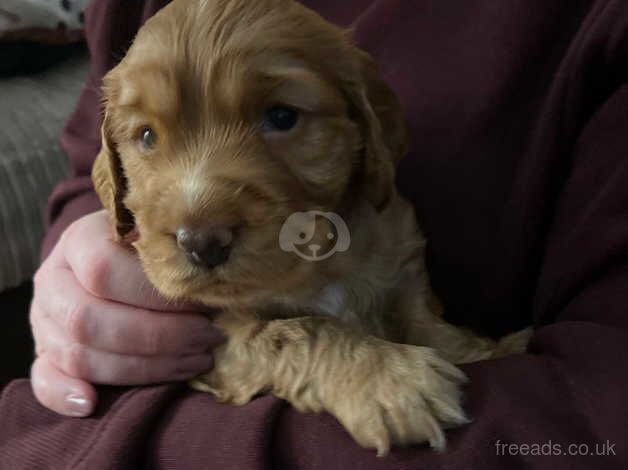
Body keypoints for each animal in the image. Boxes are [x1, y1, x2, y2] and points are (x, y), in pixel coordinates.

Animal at [93, 0, 528, 456]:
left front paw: (486, 349)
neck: (325, 258)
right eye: (146, 136)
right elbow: (299, 329)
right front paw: (392, 380)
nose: (201, 242)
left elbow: (424, 319)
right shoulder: (216, 336)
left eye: (282, 116)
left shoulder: (401, 261)